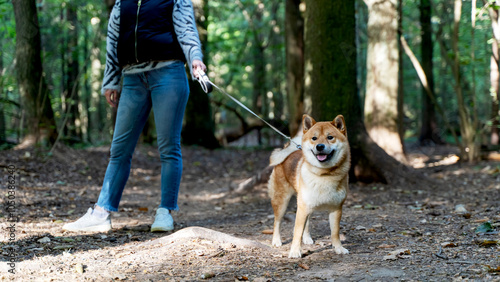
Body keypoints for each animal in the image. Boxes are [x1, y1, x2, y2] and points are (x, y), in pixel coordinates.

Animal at [268, 114, 350, 258]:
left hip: (306, 205)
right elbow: (297, 232)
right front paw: (295, 251)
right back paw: (276, 240)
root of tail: (287, 154)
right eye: (314, 138)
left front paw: (338, 248)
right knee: (277, 222)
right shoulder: (302, 208)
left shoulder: (336, 209)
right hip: (282, 202)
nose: (320, 146)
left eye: (330, 137)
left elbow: (335, 233)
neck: (324, 175)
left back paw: (307, 238)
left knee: (306, 223)